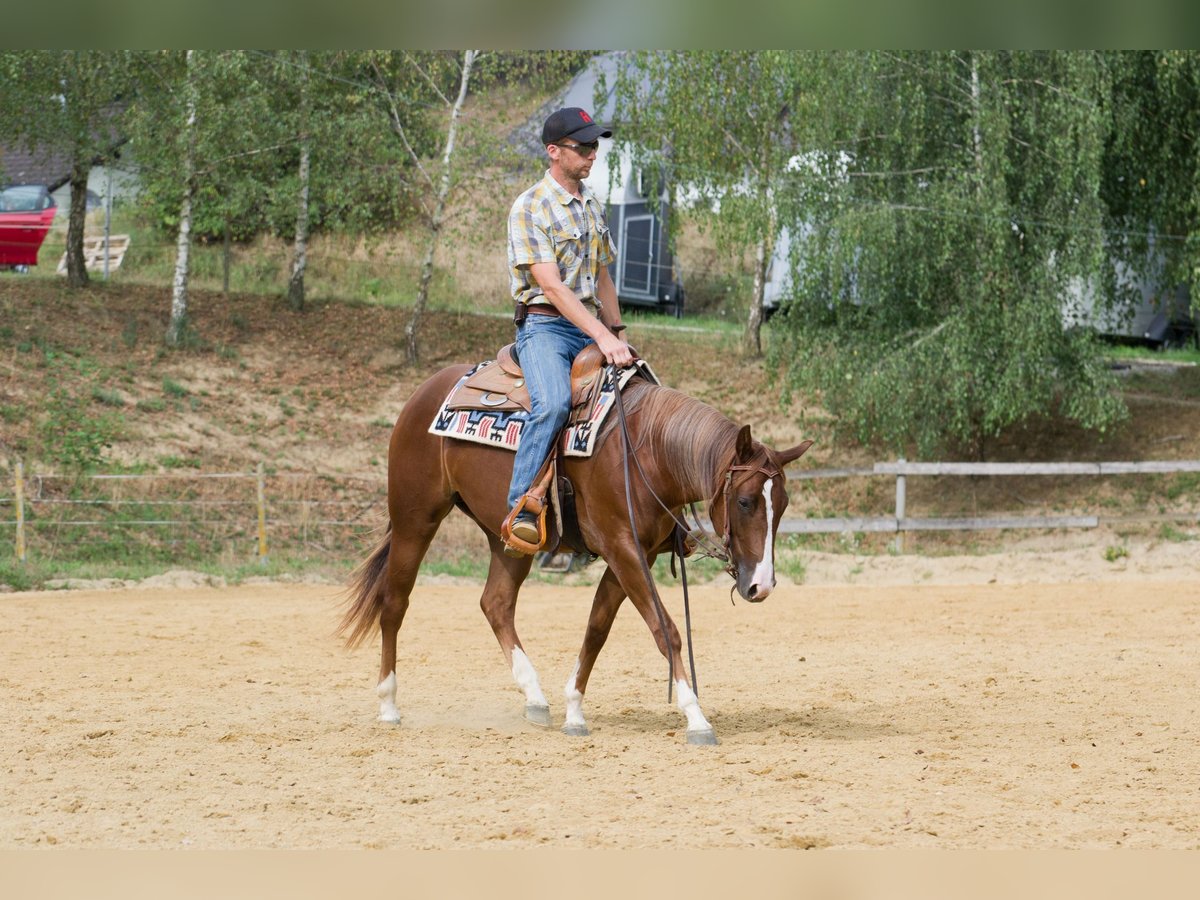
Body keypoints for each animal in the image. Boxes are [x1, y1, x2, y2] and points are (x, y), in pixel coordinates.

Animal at [338, 362, 811, 748]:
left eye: (783, 503)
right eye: (745, 502)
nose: (761, 585)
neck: (647, 450)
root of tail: (423, 393)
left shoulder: (634, 557)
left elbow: (596, 629)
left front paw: (574, 711)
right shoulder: (623, 548)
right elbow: (666, 631)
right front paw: (696, 718)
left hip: (507, 537)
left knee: (496, 603)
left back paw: (534, 696)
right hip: (415, 518)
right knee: (394, 603)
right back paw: (389, 705)